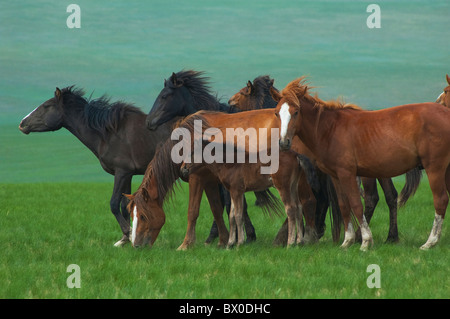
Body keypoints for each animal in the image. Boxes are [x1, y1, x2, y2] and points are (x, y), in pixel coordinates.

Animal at [18, 87, 178, 248]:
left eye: (46, 106)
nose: (22, 123)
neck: (108, 134)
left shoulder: (121, 172)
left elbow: (114, 204)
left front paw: (129, 234)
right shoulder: (128, 174)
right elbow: (125, 205)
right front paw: (124, 239)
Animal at [270, 78, 450, 252]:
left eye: (296, 112)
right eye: (277, 113)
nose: (284, 142)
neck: (330, 129)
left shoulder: (347, 173)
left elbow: (356, 205)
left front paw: (365, 242)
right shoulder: (336, 176)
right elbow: (344, 205)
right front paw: (347, 241)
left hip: (434, 168)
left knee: (440, 200)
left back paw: (430, 242)